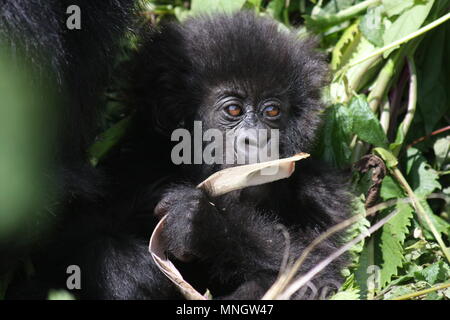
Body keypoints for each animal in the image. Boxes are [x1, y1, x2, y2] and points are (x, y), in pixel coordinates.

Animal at [130, 10, 352, 300]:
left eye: (271, 111)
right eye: (233, 110)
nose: (257, 139)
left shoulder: (324, 191)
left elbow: (320, 274)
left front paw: (203, 225)